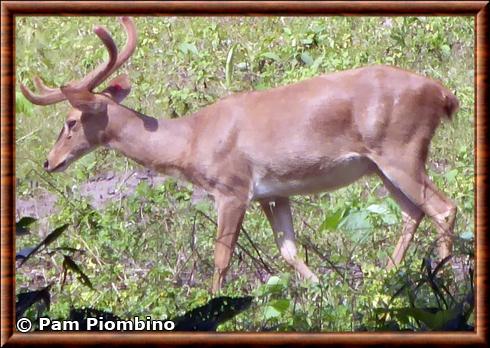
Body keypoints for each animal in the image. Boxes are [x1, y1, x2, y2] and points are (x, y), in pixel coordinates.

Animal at [20, 17, 460, 294]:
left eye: (70, 122)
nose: (49, 162)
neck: (191, 138)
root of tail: (442, 93)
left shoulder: (232, 188)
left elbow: (221, 255)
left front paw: (213, 301)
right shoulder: (272, 192)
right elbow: (288, 250)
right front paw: (323, 289)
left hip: (400, 149)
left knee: (443, 208)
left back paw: (440, 280)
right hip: (379, 165)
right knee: (414, 211)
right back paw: (386, 280)